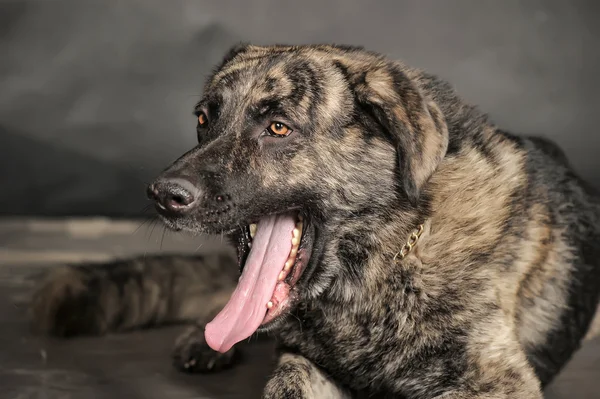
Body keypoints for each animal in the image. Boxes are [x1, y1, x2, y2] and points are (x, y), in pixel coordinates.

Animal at [31, 44, 600, 399]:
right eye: (203, 119)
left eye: (278, 128)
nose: (162, 196)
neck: (378, 268)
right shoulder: (303, 362)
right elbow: (284, 382)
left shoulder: (495, 381)